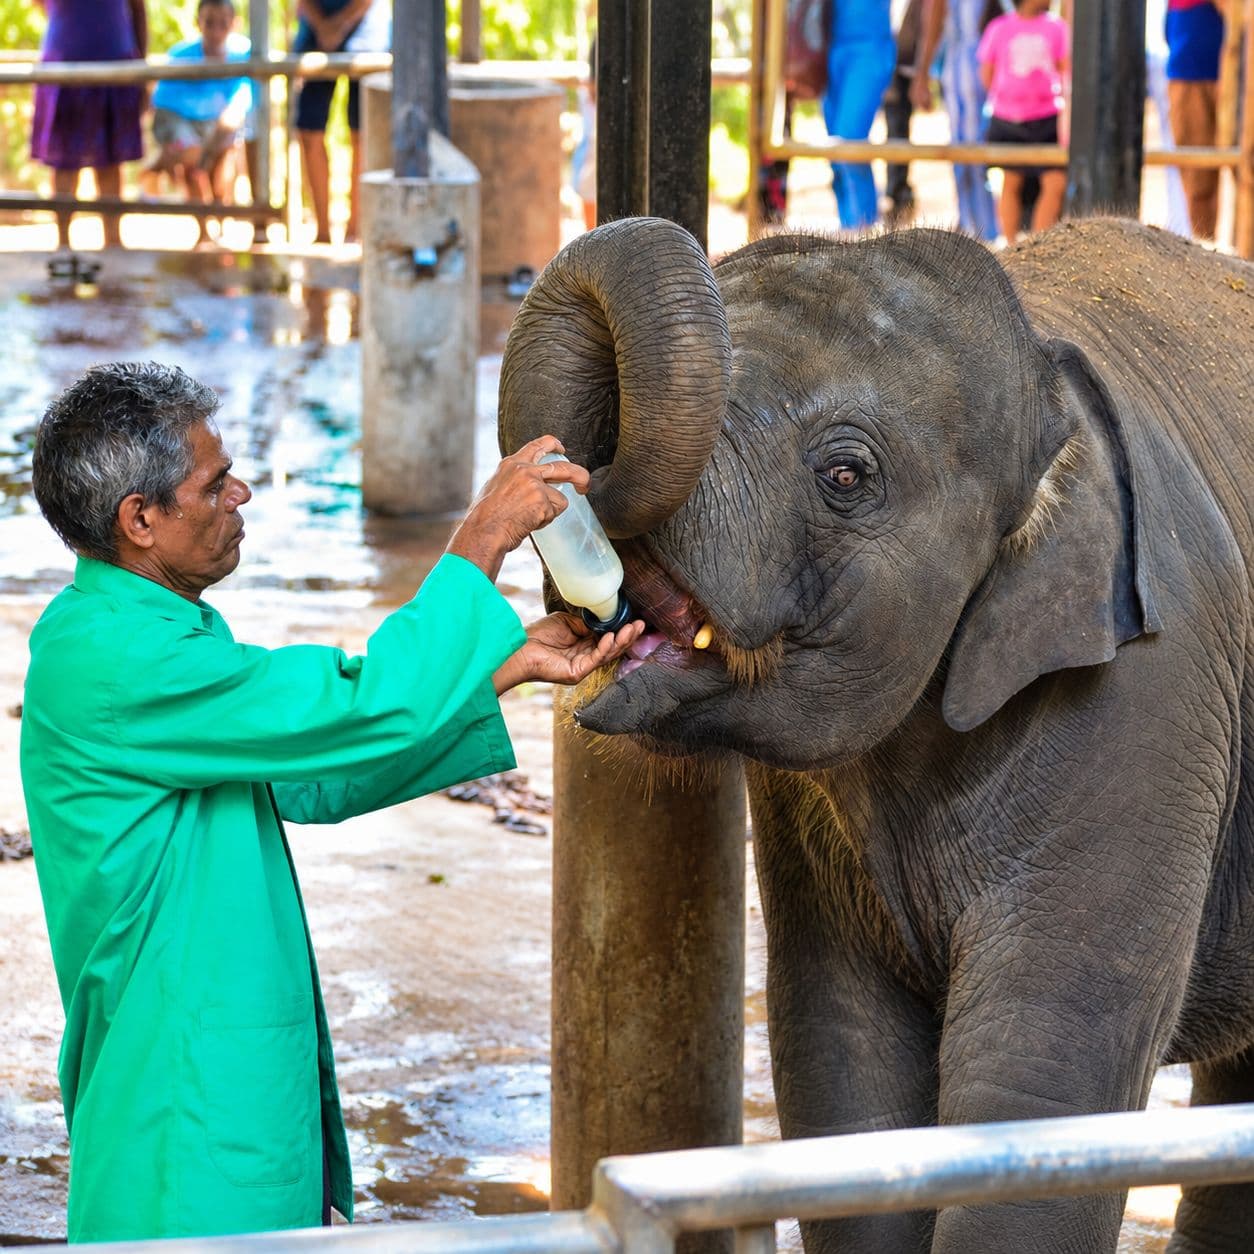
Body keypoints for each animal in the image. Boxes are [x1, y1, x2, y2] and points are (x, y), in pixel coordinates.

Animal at [498, 216, 1254, 1253]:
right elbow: (843, 1070)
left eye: (846, 475)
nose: (578, 467)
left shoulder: (1155, 697)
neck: (1048, 371)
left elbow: (1040, 1089)